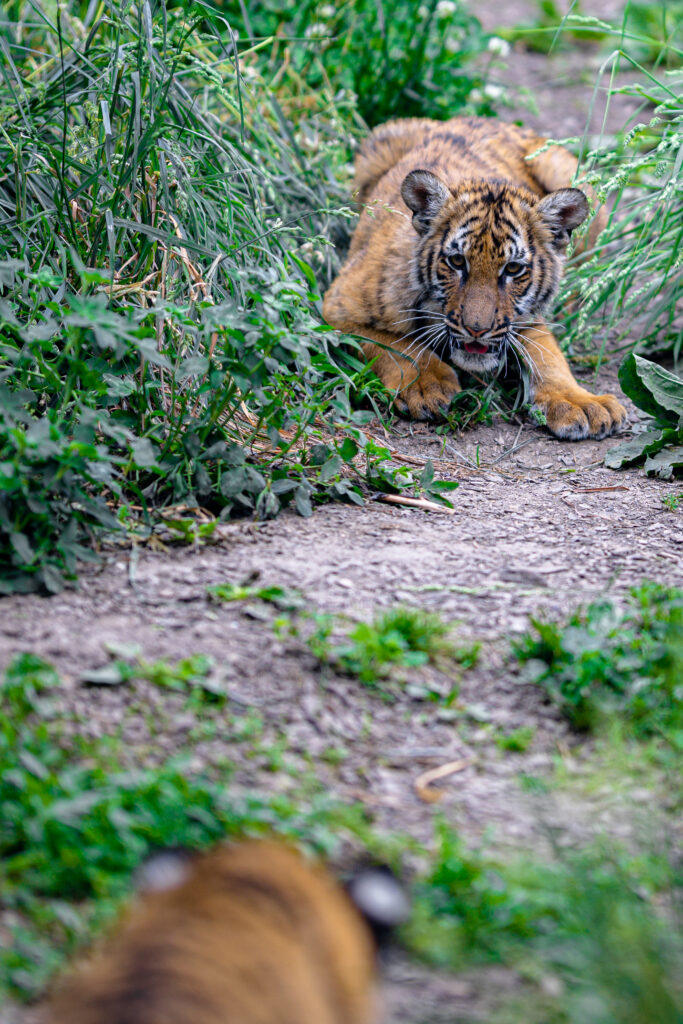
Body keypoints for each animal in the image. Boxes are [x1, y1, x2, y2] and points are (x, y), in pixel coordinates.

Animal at [323, 116, 627, 440]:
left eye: (513, 269)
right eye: (457, 262)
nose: (477, 330)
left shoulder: (527, 319)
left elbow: (549, 355)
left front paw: (581, 402)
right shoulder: (339, 307)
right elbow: (394, 346)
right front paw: (426, 385)